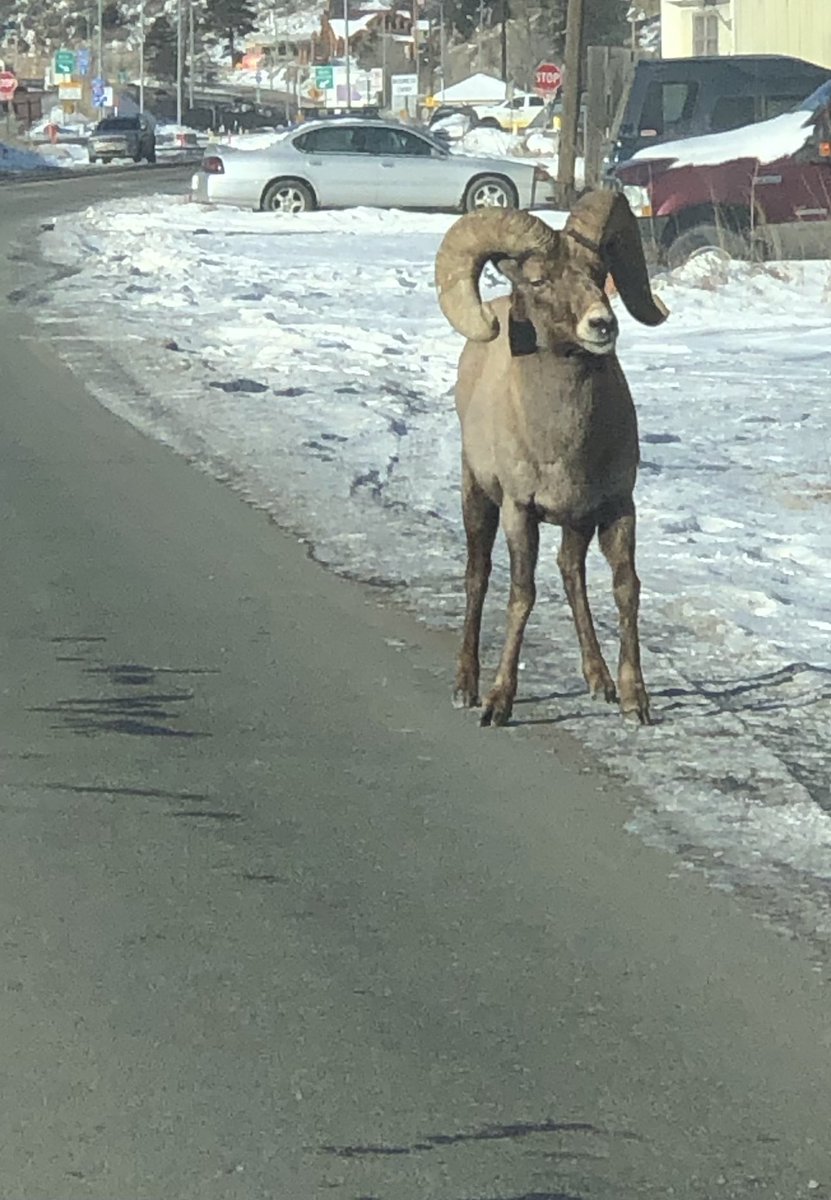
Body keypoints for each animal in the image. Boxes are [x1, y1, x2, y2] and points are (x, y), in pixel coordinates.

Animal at [434, 190, 668, 727]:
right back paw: (464, 687)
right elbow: (522, 595)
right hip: (478, 498)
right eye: (539, 280)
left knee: (571, 574)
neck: (565, 443)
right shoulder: (520, 512)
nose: (602, 324)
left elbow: (626, 589)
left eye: (599, 270)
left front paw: (634, 700)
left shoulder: (618, 508)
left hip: (576, 524)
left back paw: (599, 681)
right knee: (478, 577)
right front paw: (498, 703)